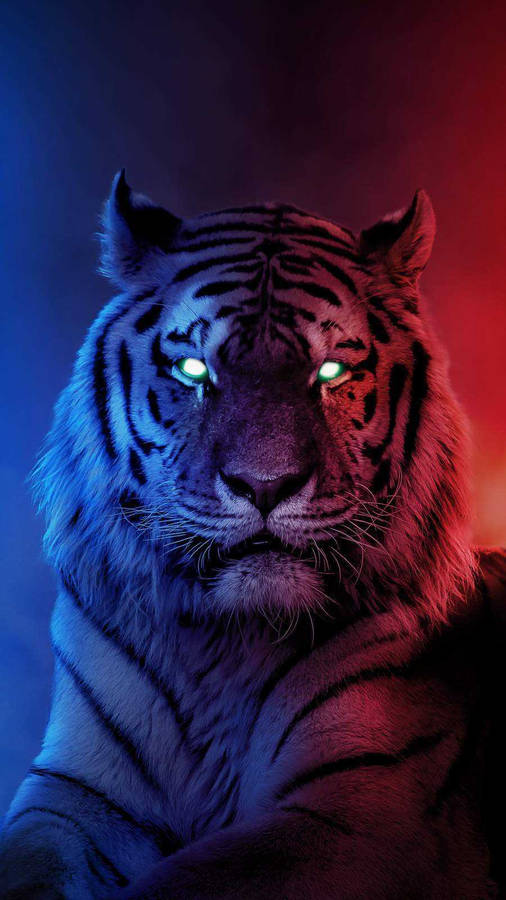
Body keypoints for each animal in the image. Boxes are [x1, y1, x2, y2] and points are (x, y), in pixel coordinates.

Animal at [1, 169, 505, 900]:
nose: (264, 486)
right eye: (193, 371)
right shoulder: (77, 794)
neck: (225, 642)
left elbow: (185, 883)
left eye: (330, 373)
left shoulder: (360, 811)